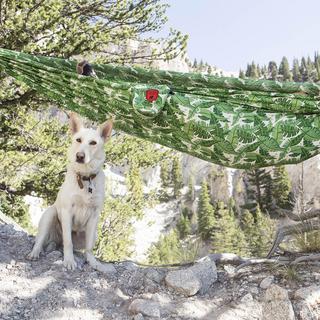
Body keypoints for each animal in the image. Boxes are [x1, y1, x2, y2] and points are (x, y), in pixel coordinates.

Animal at [27, 112, 112, 270]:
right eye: (78, 140)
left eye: (93, 143)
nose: (80, 156)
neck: (85, 178)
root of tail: (55, 240)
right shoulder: (67, 211)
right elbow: (68, 242)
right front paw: (69, 261)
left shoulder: (94, 216)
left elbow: (89, 248)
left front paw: (93, 263)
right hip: (50, 214)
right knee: (42, 240)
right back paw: (35, 253)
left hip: (93, 233)